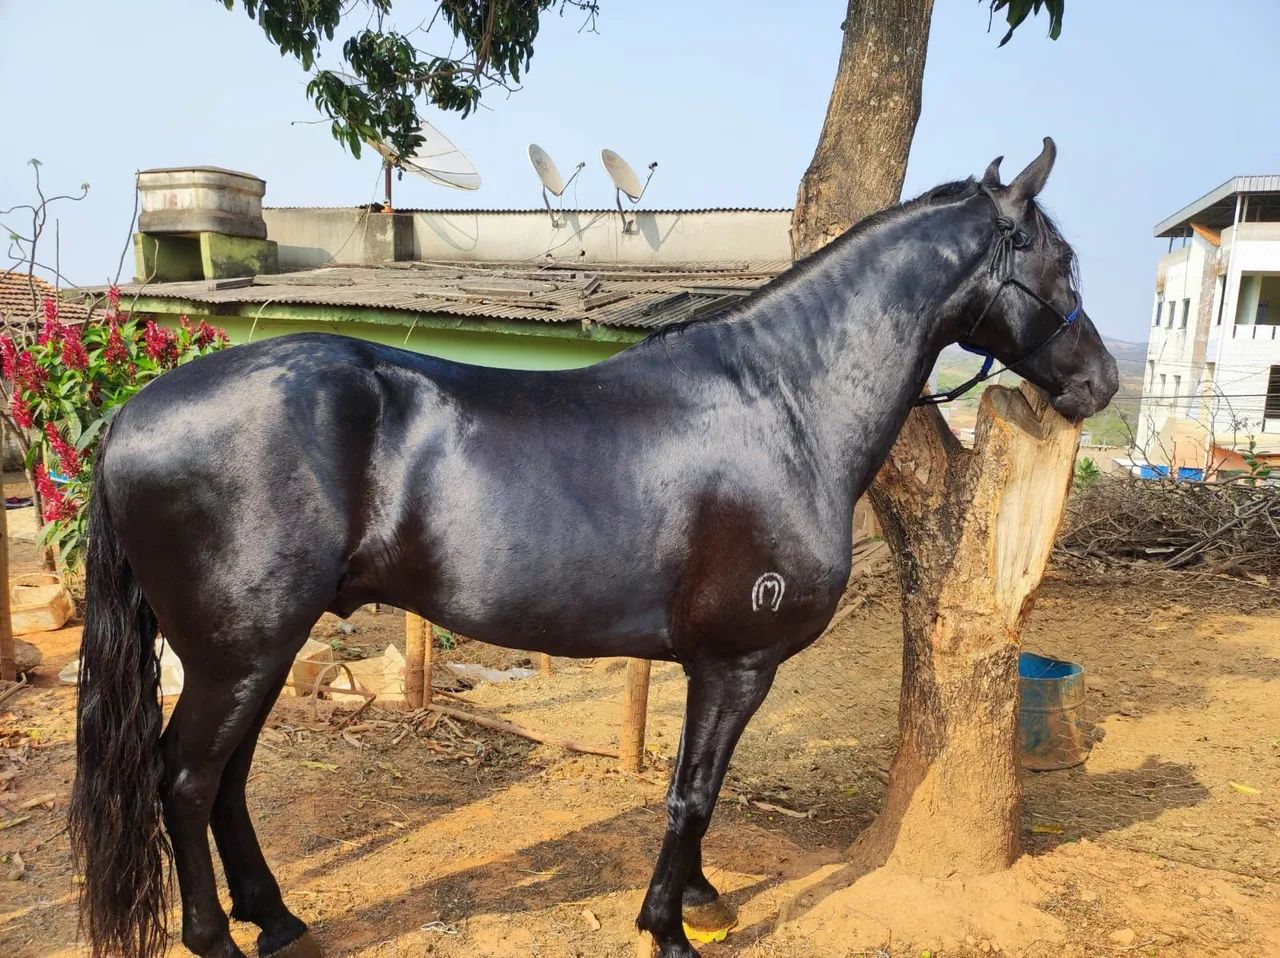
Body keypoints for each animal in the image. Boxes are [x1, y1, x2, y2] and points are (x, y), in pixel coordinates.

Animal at [69, 137, 1117, 958]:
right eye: (1062, 264)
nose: (1102, 382)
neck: (785, 403)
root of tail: (130, 416)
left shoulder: (714, 665)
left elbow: (699, 784)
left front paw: (701, 901)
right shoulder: (738, 663)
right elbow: (693, 793)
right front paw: (668, 927)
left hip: (258, 651)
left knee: (226, 781)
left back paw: (276, 919)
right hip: (237, 653)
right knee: (186, 779)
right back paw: (216, 937)